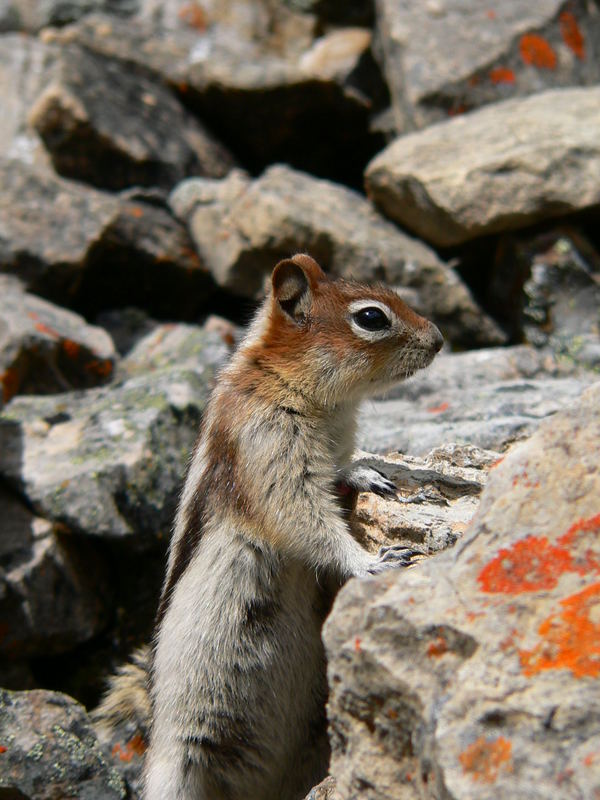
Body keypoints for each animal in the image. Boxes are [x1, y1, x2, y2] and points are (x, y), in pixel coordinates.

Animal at [94, 256, 440, 800]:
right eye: (372, 317)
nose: (439, 338)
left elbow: (339, 475)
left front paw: (367, 474)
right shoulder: (269, 445)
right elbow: (304, 519)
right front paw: (371, 561)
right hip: (183, 756)